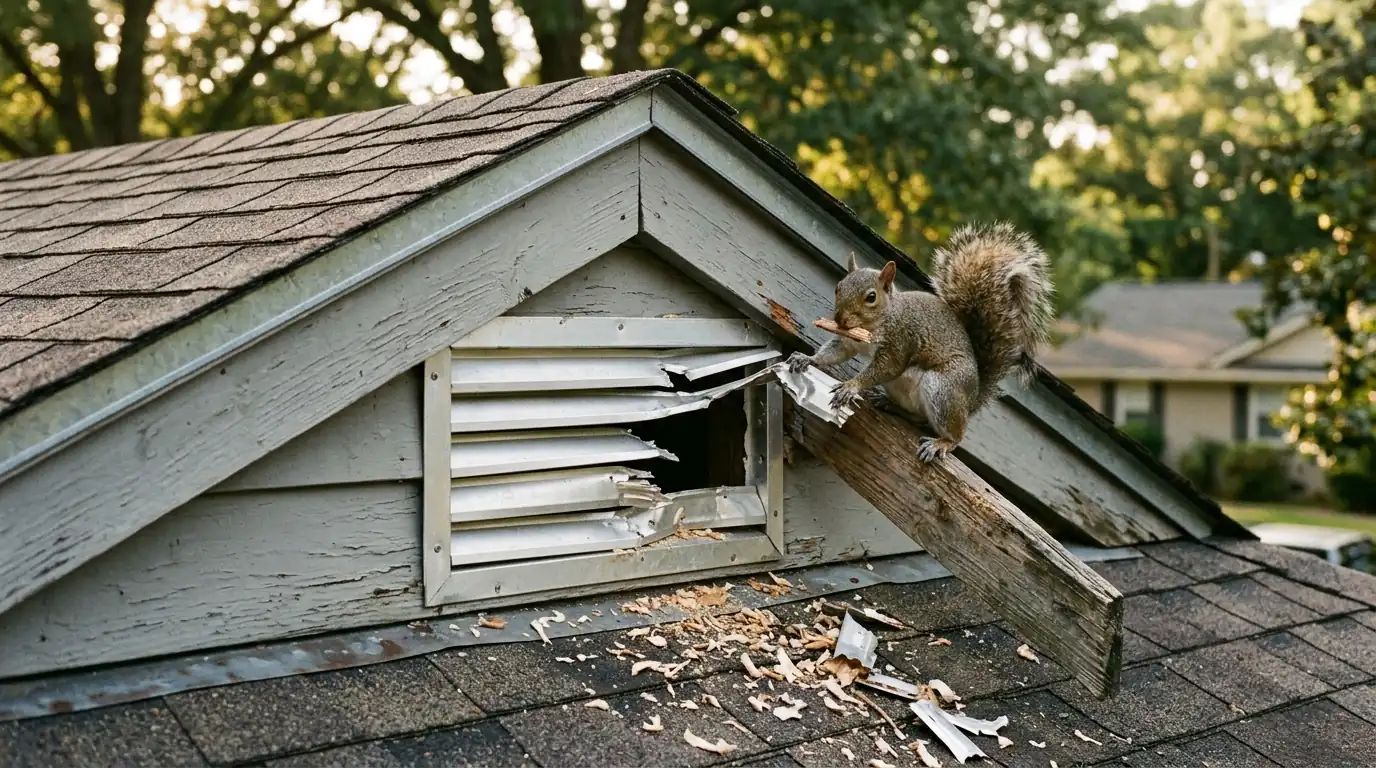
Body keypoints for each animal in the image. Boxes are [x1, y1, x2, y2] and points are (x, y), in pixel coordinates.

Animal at [786, 221, 1054, 463]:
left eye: (871, 297)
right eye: (838, 288)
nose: (839, 319)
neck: (876, 323)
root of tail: (972, 399)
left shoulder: (899, 341)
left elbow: (886, 367)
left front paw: (851, 386)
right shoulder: (849, 342)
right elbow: (834, 352)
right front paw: (807, 359)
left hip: (942, 388)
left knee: (954, 434)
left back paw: (941, 443)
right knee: (919, 418)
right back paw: (892, 405)